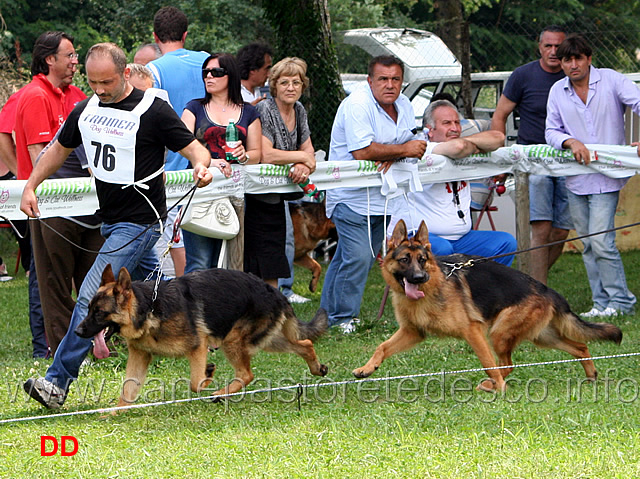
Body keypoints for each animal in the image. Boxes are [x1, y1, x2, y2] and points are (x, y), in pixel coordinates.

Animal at [77, 264, 328, 406]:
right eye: (88, 309)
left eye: (99, 313)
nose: (78, 331)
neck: (149, 309)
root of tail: (275, 292)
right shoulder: (140, 356)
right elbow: (128, 389)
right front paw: (113, 413)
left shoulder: (198, 346)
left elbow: (196, 383)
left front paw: (208, 375)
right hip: (265, 339)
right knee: (305, 342)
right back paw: (317, 368)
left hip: (233, 341)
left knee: (246, 374)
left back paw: (220, 393)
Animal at [352, 221, 624, 394]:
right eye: (404, 260)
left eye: (423, 260)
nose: (419, 278)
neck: (430, 289)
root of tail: (548, 290)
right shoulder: (412, 333)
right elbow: (382, 347)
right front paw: (367, 368)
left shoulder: (472, 331)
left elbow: (487, 362)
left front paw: (500, 389)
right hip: (542, 337)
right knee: (580, 347)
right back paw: (591, 375)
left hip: (500, 333)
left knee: (507, 364)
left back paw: (494, 385)